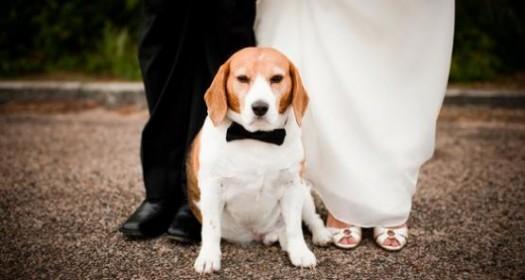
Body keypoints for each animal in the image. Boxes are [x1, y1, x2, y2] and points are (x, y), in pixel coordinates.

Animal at [186, 47, 330, 274]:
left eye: (277, 78)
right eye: (243, 78)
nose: (260, 107)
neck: (257, 137)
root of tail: (259, 235)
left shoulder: (292, 185)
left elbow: (295, 227)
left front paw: (300, 252)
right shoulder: (211, 188)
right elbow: (211, 228)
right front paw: (208, 256)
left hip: (304, 194)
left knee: (309, 220)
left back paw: (320, 235)